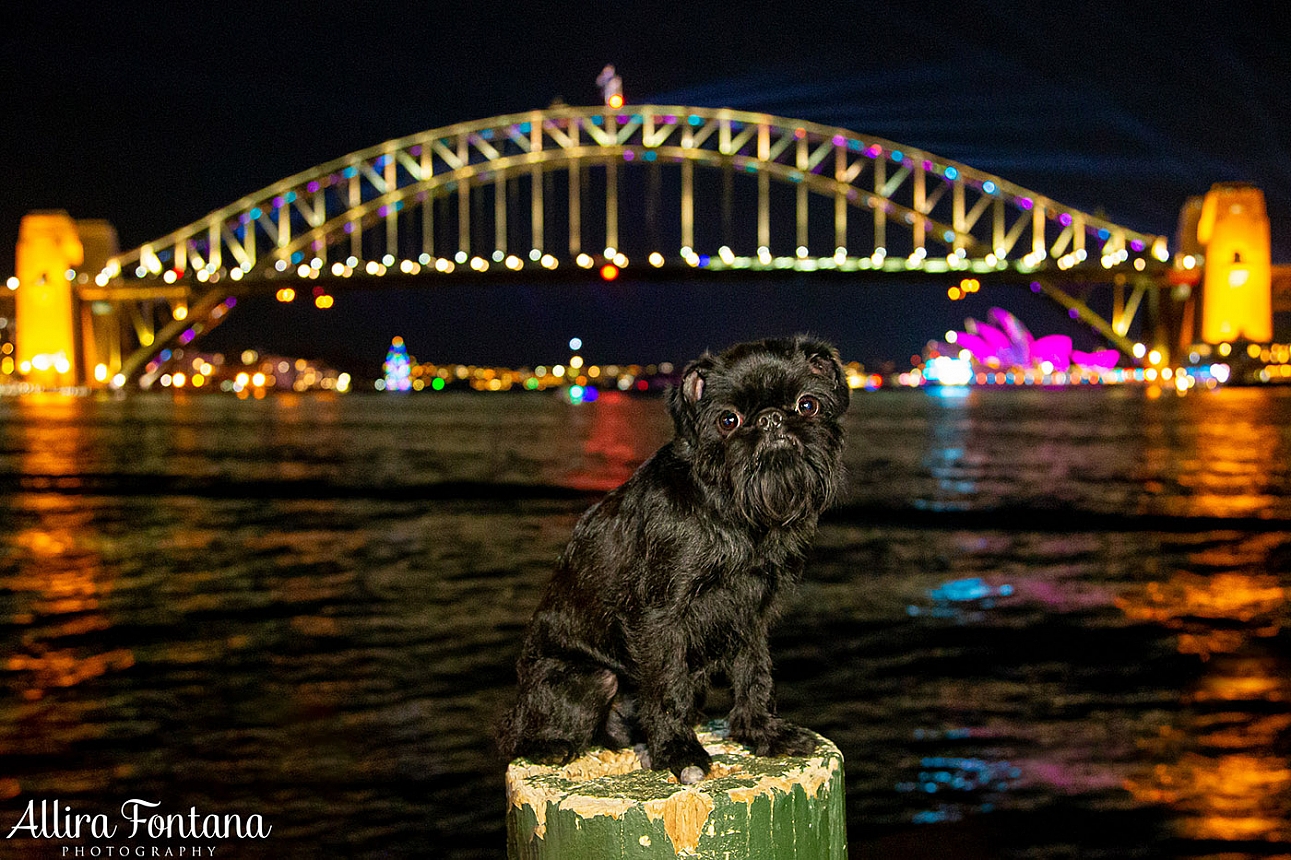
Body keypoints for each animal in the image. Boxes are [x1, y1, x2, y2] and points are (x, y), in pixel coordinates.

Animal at [495, 335, 846, 785]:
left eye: (808, 405)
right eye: (728, 420)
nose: (770, 419)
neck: (731, 514)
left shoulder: (751, 616)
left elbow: (754, 674)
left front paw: (761, 732)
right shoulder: (660, 617)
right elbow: (665, 686)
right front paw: (678, 751)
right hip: (592, 678)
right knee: (518, 736)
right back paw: (552, 745)